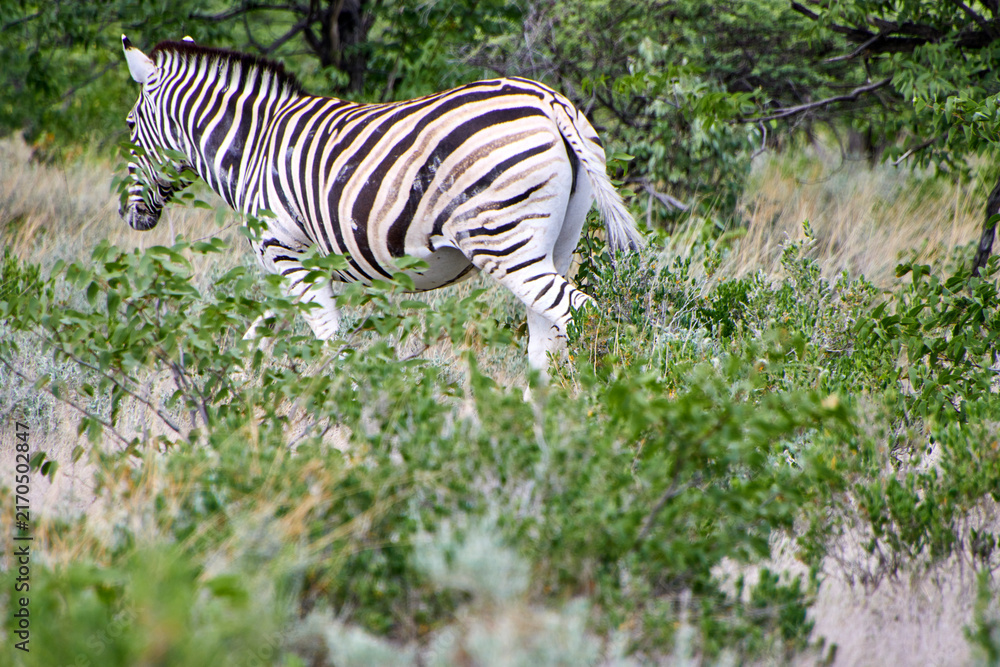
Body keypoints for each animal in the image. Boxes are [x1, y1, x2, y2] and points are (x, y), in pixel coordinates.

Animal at [120, 35, 642, 378]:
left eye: (129, 126)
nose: (130, 216)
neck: (252, 146)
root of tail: (548, 100)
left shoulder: (287, 254)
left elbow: (330, 341)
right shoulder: (286, 267)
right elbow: (256, 338)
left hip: (502, 240)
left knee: (584, 313)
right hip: (556, 241)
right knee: (546, 341)